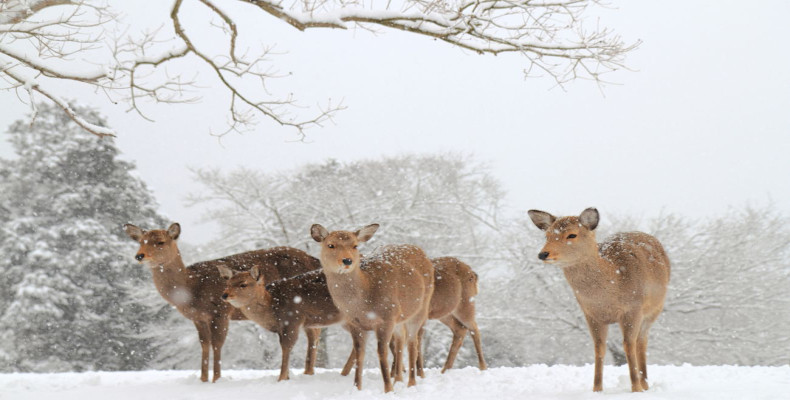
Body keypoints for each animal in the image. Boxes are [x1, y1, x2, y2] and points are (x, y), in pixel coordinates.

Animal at [122, 223, 318, 382]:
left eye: (161, 242)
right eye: (141, 241)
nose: (139, 256)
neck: (191, 289)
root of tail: (314, 259)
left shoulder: (221, 311)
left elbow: (217, 343)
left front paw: (216, 379)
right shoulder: (198, 318)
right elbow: (204, 344)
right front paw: (202, 379)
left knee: (314, 332)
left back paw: (307, 373)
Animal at [310, 223, 436, 392]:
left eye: (355, 245)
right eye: (330, 245)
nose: (347, 260)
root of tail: (420, 250)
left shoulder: (386, 318)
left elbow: (381, 352)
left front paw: (388, 389)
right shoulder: (354, 323)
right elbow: (359, 353)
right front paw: (357, 388)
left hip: (421, 308)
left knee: (412, 342)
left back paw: (411, 383)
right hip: (400, 317)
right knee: (401, 339)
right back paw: (398, 379)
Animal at [340, 256, 488, 378]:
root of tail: (473, 273)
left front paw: (407, 373)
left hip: (465, 303)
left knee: (474, 329)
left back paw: (482, 367)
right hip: (444, 313)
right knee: (459, 329)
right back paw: (445, 369)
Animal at [528, 209, 672, 394]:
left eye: (572, 234)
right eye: (547, 235)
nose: (543, 254)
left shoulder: (633, 309)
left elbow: (628, 344)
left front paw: (636, 388)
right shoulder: (591, 314)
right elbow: (599, 347)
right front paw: (597, 388)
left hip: (655, 309)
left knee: (641, 341)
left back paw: (645, 384)